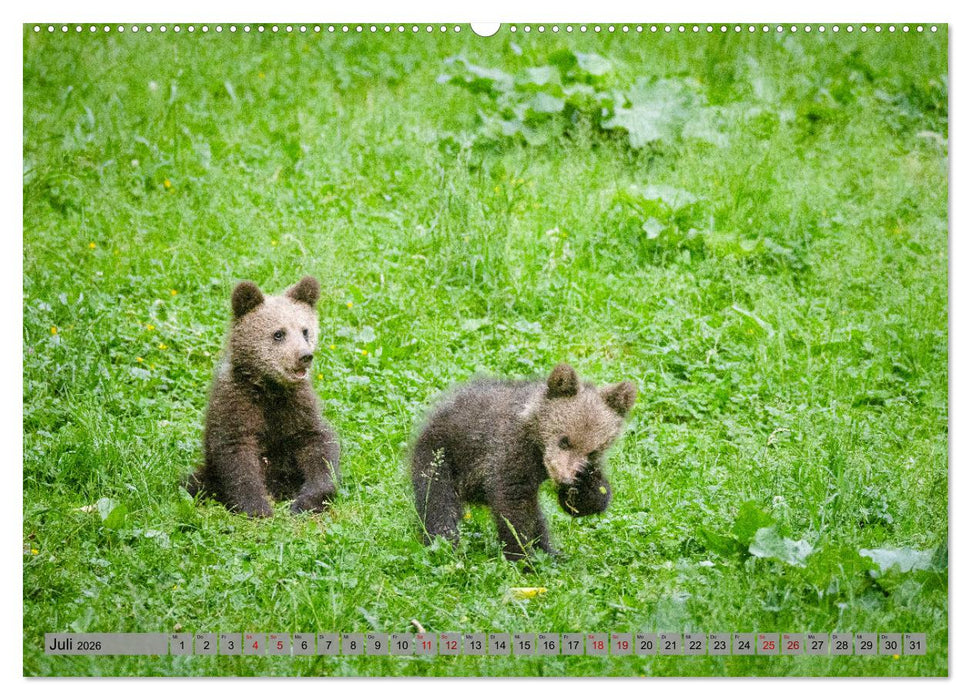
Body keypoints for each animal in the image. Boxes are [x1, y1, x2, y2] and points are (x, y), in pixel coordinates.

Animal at [185, 276, 340, 517]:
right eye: (278, 333)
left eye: (305, 330)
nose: (304, 356)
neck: (270, 388)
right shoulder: (236, 404)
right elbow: (237, 455)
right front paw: (257, 506)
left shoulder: (298, 407)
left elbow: (319, 447)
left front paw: (307, 500)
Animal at [410, 363, 636, 561]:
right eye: (564, 441)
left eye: (592, 451)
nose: (565, 478)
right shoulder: (508, 452)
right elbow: (514, 507)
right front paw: (523, 557)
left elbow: (581, 504)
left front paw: (586, 487)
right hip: (441, 456)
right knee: (437, 502)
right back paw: (444, 545)